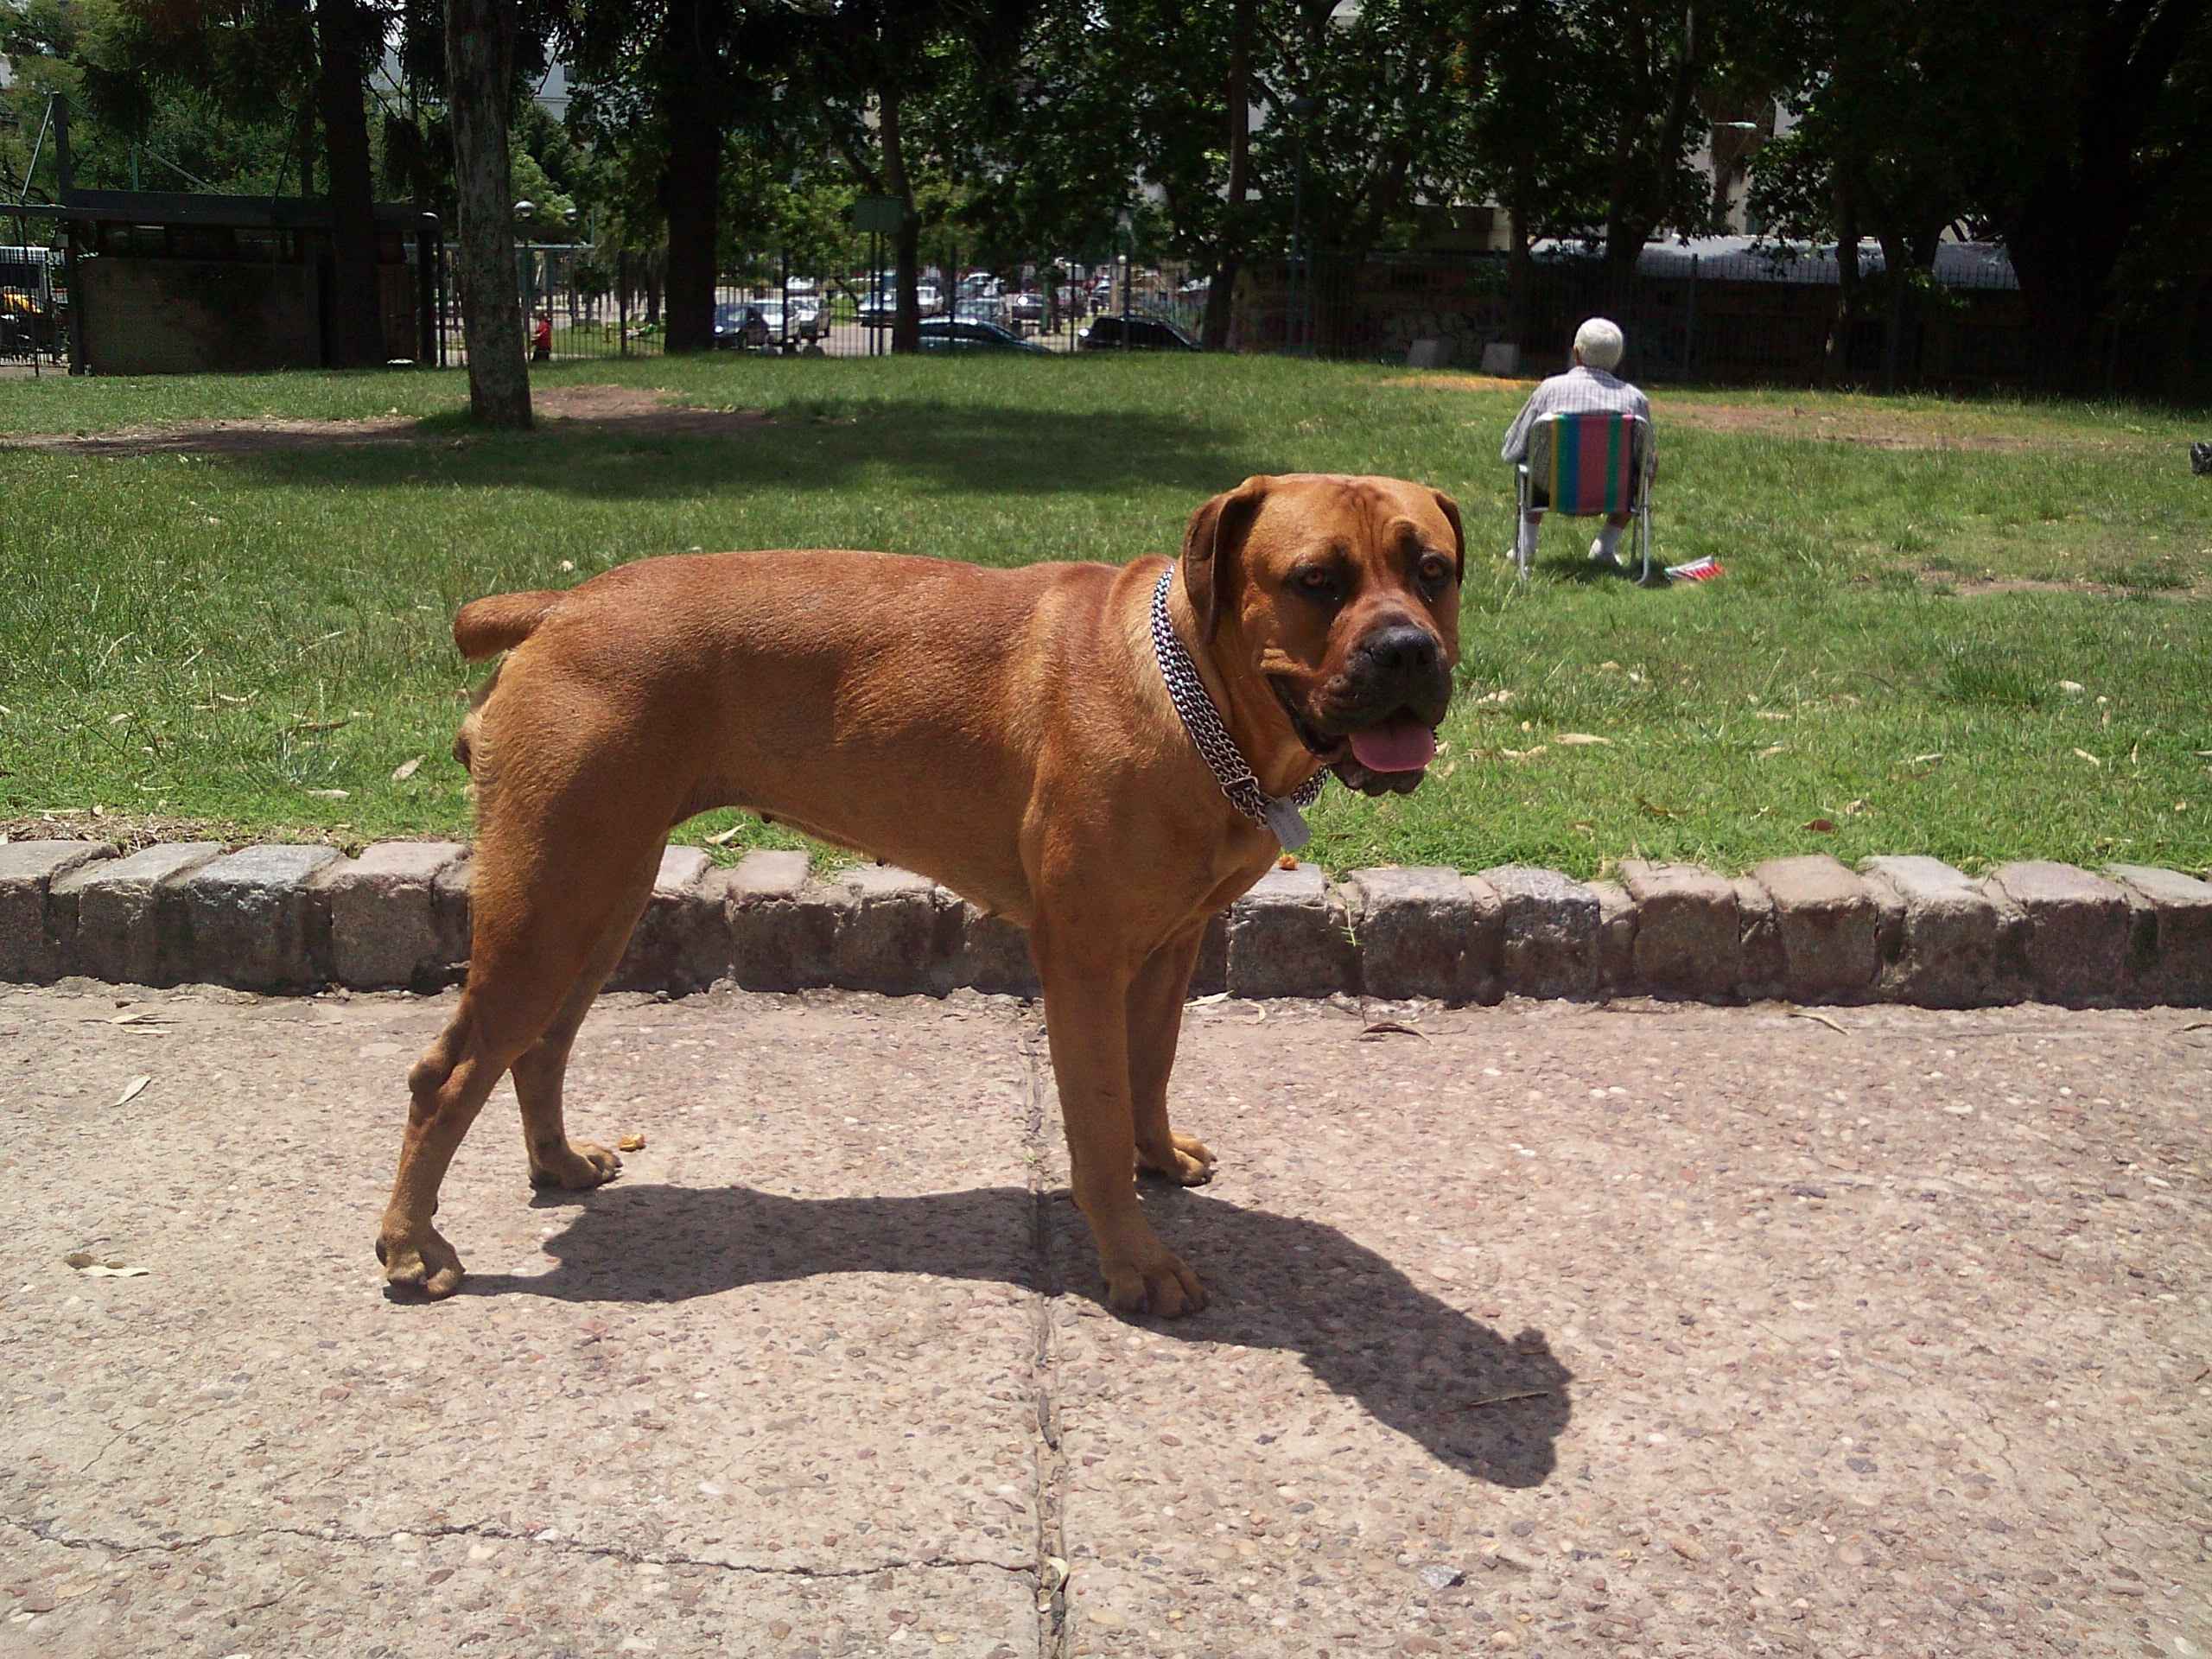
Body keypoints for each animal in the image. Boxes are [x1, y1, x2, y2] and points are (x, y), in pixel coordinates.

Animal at [373, 473, 1459, 1318]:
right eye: (1315, 581)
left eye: (1435, 570)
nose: (1409, 651)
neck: (1193, 689)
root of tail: (556, 605)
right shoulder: (1084, 958)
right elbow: (1100, 1116)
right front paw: (1135, 1261)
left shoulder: (1171, 945)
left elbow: (1149, 1072)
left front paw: (1159, 1157)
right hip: (548, 897)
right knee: (447, 1072)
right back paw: (412, 1247)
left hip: (600, 895)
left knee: (537, 1046)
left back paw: (557, 1165)